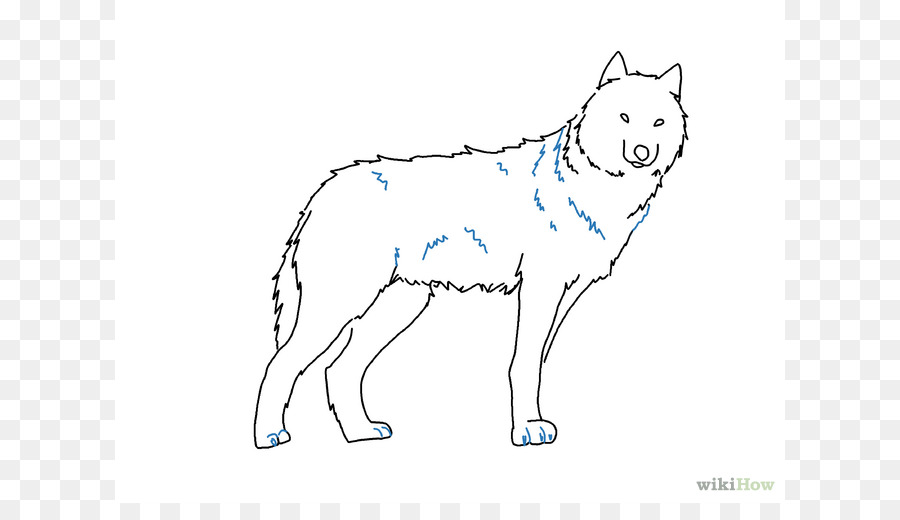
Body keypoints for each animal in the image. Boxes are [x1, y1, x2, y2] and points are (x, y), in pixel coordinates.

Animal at [254, 52, 687, 448]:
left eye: (659, 122)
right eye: (623, 117)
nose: (643, 152)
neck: (595, 188)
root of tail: (318, 195)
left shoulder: (566, 294)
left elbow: (538, 360)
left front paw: (532, 420)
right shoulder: (540, 287)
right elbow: (524, 363)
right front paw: (527, 430)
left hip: (401, 307)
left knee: (339, 369)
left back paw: (361, 433)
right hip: (339, 308)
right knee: (280, 364)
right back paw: (269, 435)